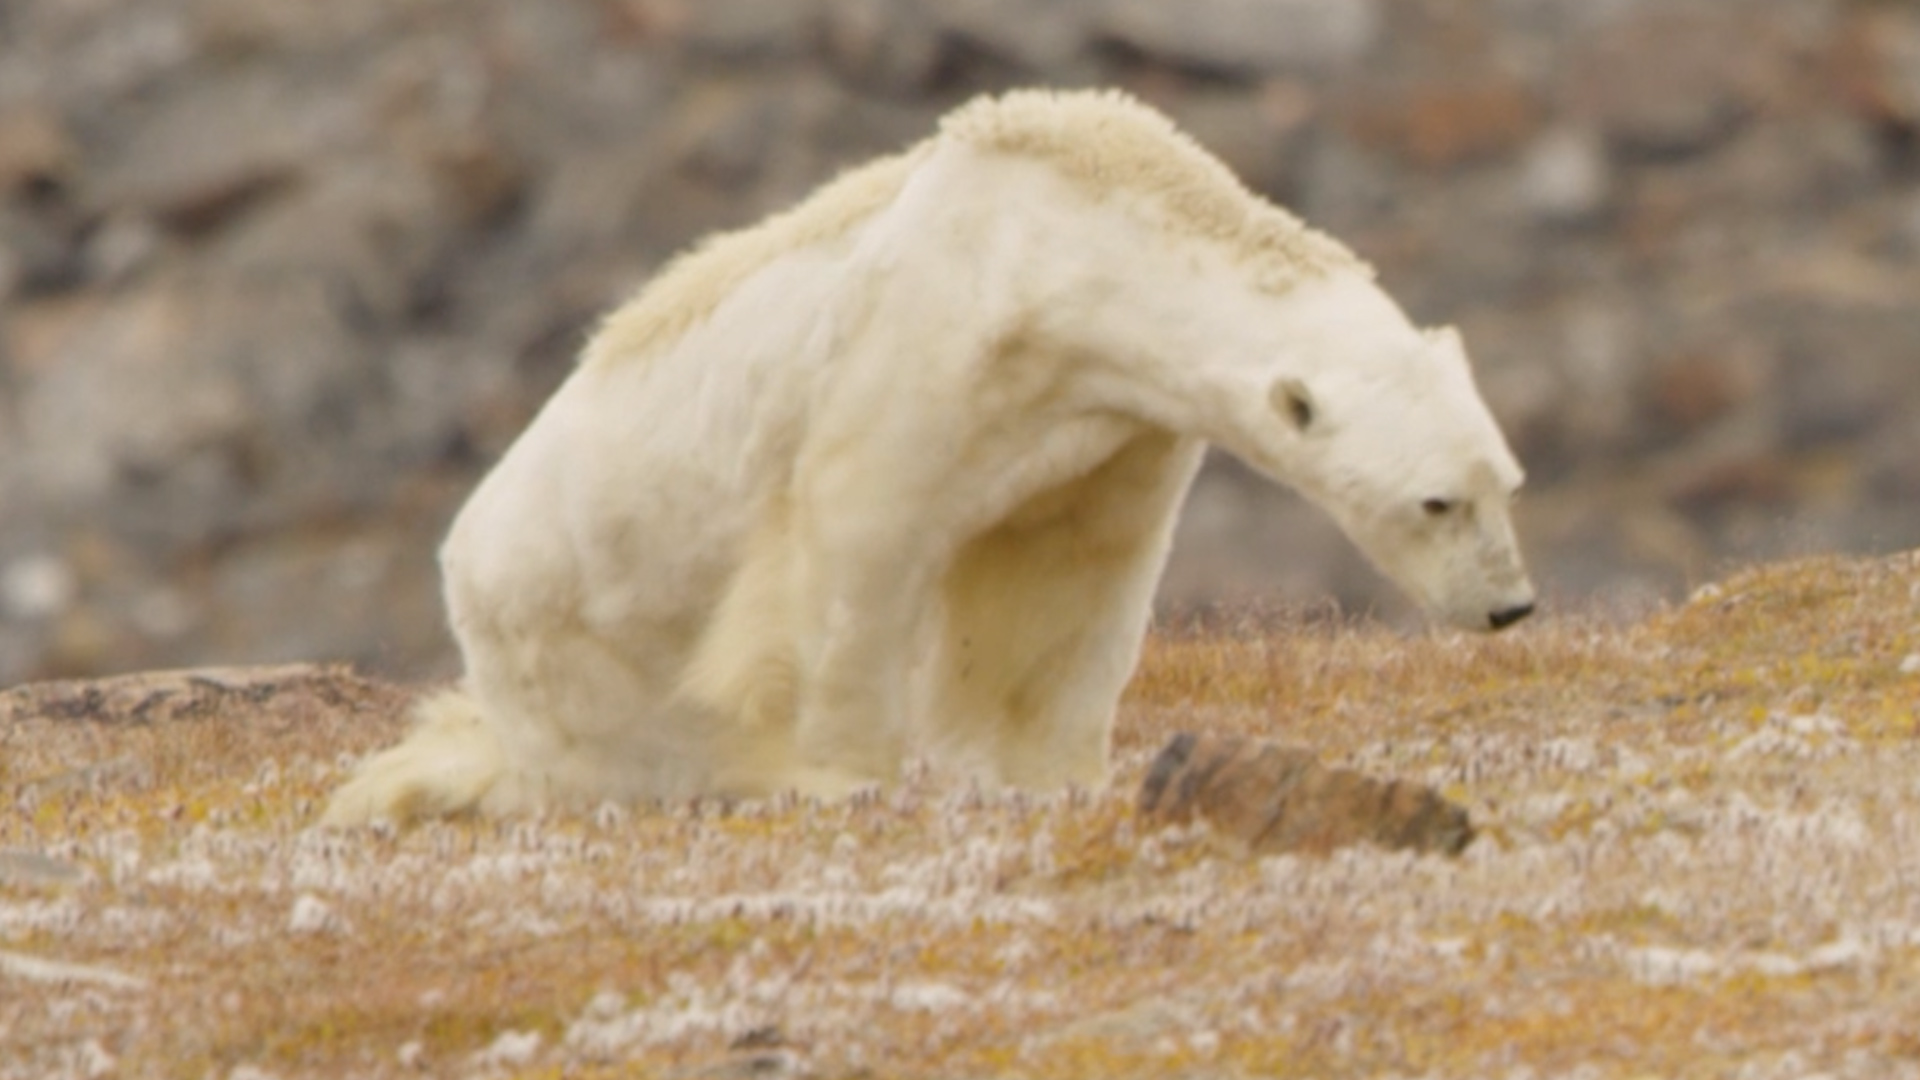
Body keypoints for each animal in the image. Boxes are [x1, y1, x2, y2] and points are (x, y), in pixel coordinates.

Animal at [322, 88, 1536, 818]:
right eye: (1436, 502)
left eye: (1506, 483)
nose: (1509, 606)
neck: (1071, 242)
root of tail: (461, 553)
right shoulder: (930, 342)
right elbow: (860, 539)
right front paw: (845, 777)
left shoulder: (1113, 422)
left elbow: (1070, 574)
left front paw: (1053, 773)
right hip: (574, 645)